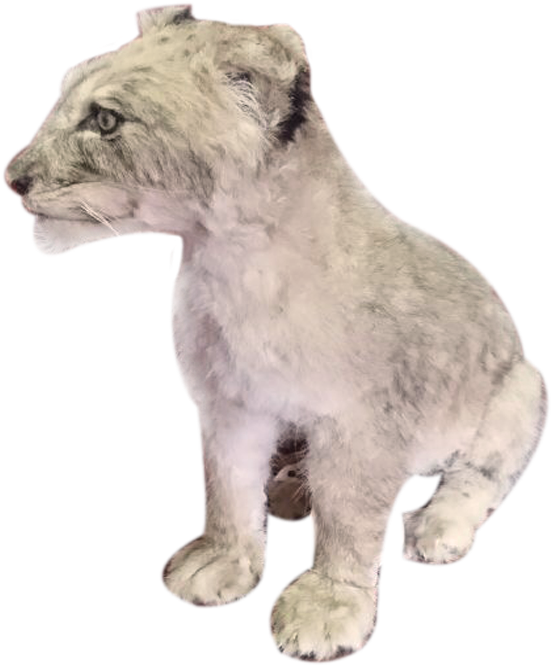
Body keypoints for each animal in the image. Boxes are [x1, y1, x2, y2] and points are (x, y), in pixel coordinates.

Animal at [3, 3, 548, 662]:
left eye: (106, 120)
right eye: (64, 95)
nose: (11, 178)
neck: (233, 263)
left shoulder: (362, 424)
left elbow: (351, 517)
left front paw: (329, 607)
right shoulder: (230, 403)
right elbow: (228, 487)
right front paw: (222, 561)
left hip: (523, 385)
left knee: (478, 477)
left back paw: (437, 527)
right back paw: (293, 487)